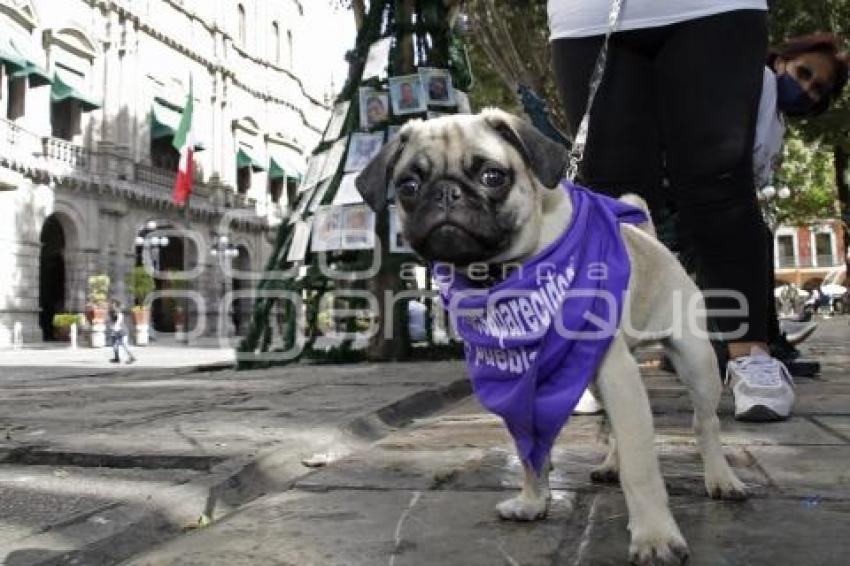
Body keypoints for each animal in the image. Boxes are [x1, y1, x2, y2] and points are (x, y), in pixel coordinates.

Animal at [352, 108, 744, 564]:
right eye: (408, 186)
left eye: (492, 176)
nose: (446, 193)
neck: (505, 275)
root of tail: (650, 237)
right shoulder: (526, 381)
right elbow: (529, 450)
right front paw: (534, 500)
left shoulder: (617, 376)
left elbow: (642, 466)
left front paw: (654, 536)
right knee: (617, 428)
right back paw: (611, 464)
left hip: (695, 360)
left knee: (705, 423)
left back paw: (720, 478)